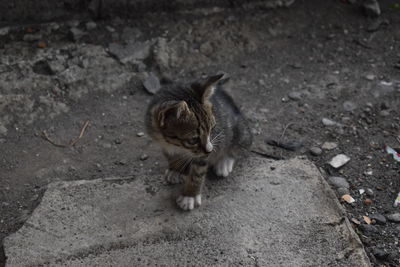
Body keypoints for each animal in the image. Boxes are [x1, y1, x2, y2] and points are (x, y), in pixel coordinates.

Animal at [146, 74, 253, 211]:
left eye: (212, 128)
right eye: (193, 140)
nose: (210, 150)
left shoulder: (202, 155)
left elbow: (197, 173)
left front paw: (190, 195)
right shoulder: (161, 140)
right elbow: (170, 155)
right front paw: (176, 169)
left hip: (240, 131)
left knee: (240, 145)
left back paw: (224, 162)